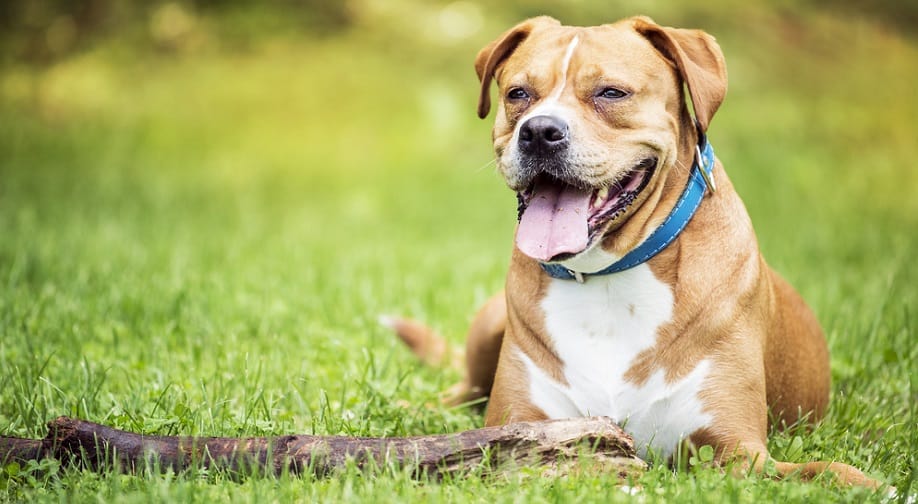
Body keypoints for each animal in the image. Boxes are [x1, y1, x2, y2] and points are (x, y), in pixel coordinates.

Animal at [386, 15, 884, 488]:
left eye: (611, 93)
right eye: (518, 94)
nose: (540, 130)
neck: (606, 277)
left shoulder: (739, 451)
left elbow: (821, 470)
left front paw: (865, 482)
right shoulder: (522, 425)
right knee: (459, 391)